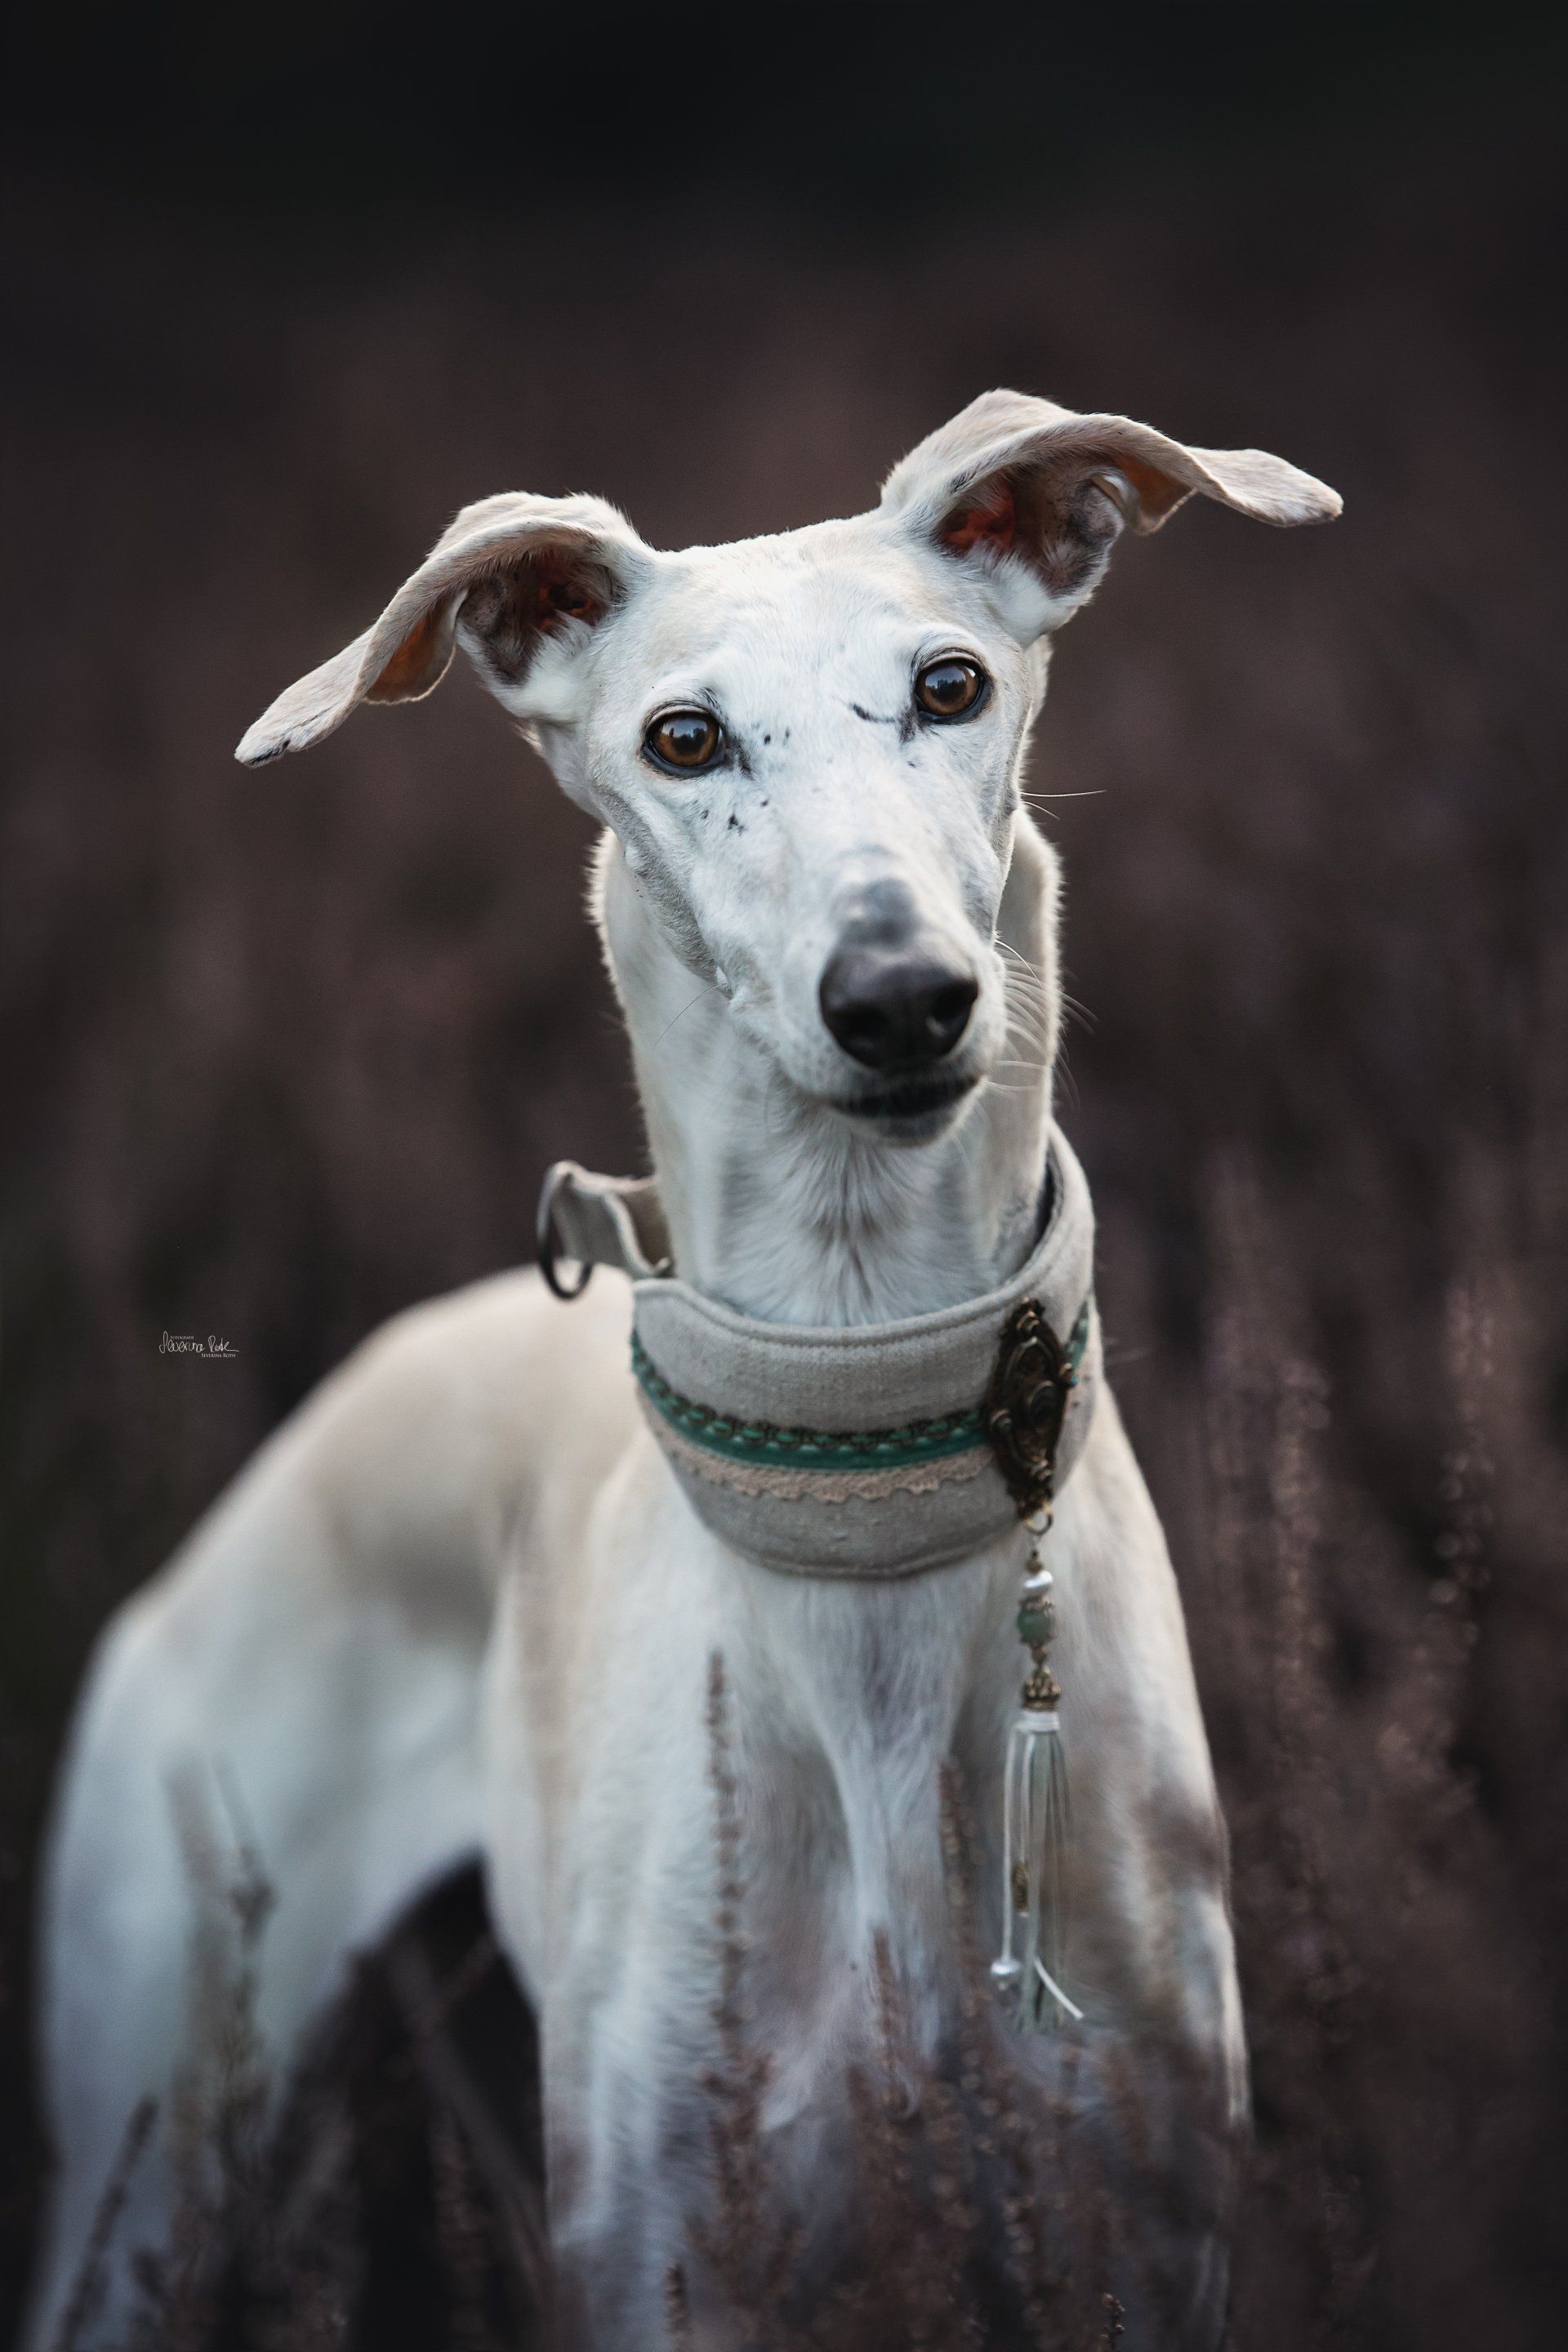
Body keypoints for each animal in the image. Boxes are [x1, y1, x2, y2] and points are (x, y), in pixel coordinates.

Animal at [26, 391, 1339, 2348]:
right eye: (686, 735)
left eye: (951, 684)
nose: (902, 997)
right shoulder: (671, 2248)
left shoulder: (1141, 2217)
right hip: (156, 2141)